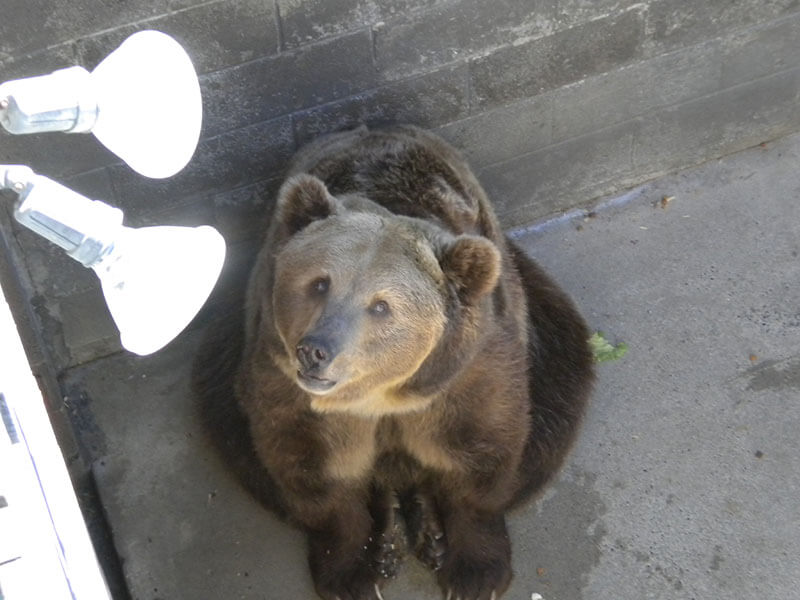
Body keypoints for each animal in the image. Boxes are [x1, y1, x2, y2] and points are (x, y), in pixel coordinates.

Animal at [194, 125, 594, 600]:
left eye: (381, 306)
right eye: (319, 282)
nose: (315, 350)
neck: (381, 395)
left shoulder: (466, 371)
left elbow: (480, 452)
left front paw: (475, 573)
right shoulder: (281, 380)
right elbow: (312, 468)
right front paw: (352, 574)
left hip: (548, 334)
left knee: (552, 419)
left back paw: (428, 527)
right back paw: (388, 535)